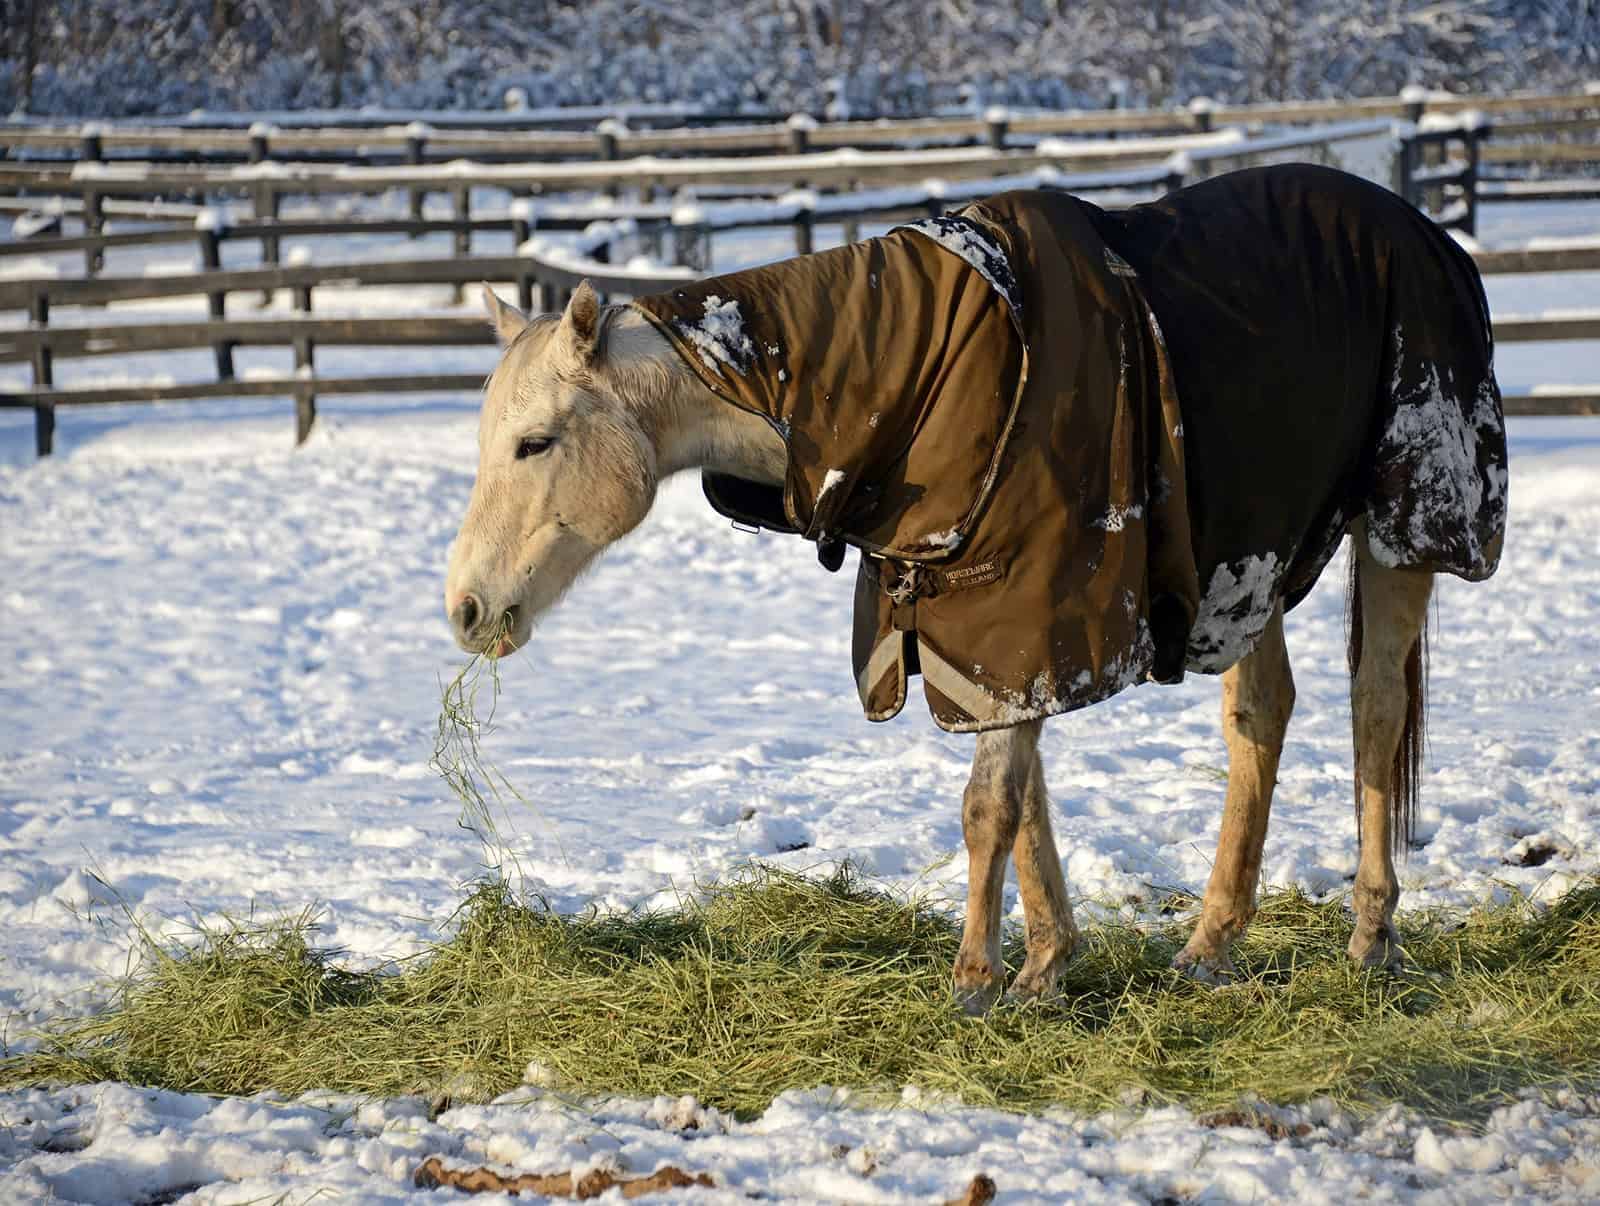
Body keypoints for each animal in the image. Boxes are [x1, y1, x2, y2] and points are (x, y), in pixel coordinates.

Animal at [444, 164, 1504, 1010]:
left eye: (535, 442)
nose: (466, 609)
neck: (912, 378)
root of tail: (1426, 233)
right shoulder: (980, 636)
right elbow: (1023, 797)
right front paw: (1045, 963)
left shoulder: (1030, 613)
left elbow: (989, 802)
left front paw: (977, 978)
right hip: (1250, 564)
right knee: (1262, 714)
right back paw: (1211, 944)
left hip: (1401, 530)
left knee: (1375, 709)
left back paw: (1371, 935)